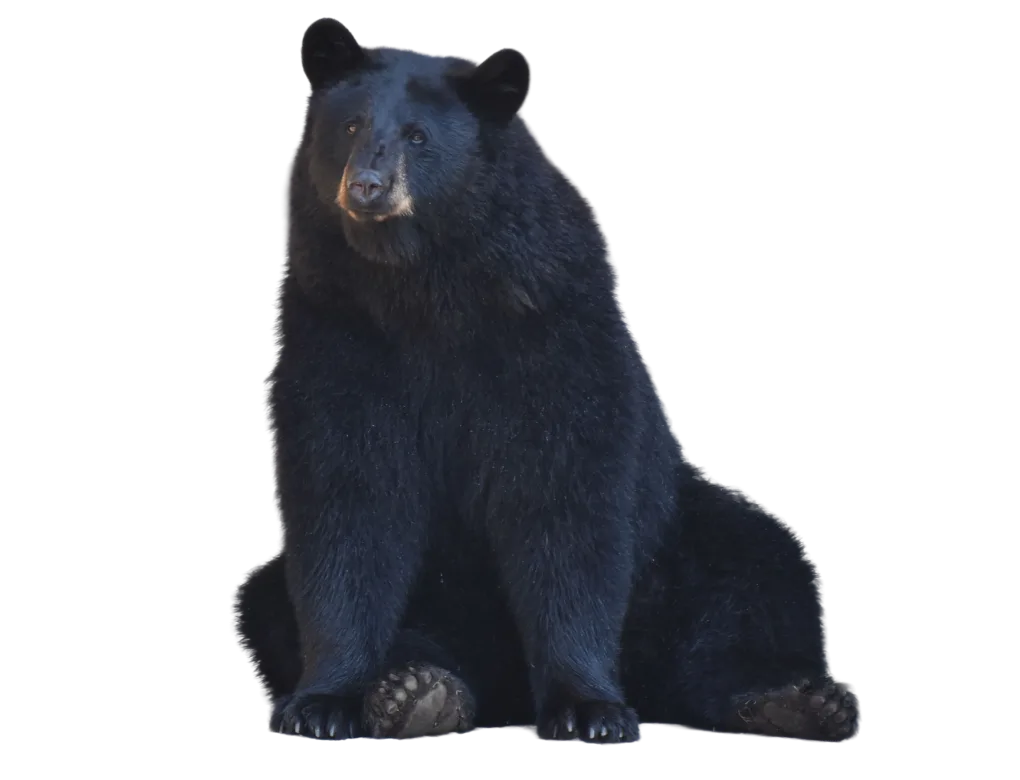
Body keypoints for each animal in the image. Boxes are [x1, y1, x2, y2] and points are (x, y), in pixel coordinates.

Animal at [231, 16, 861, 744]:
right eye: (352, 125)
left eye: (418, 137)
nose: (365, 187)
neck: (424, 288)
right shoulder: (336, 324)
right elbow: (345, 495)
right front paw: (323, 704)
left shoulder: (552, 323)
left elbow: (567, 493)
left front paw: (588, 710)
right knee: (268, 599)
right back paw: (421, 692)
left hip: (682, 530)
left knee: (760, 573)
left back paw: (796, 703)